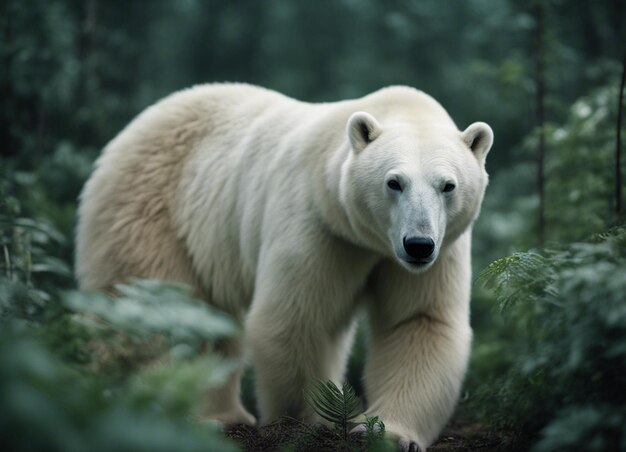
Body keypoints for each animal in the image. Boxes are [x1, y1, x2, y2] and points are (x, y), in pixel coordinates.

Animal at [75, 83, 490, 450]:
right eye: (394, 182)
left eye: (448, 185)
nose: (418, 244)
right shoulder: (318, 223)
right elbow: (297, 318)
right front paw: (308, 424)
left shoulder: (438, 250)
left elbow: (419, 321)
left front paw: (389, 434)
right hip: (149, 208)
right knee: (148, 308)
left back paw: (221, 414)